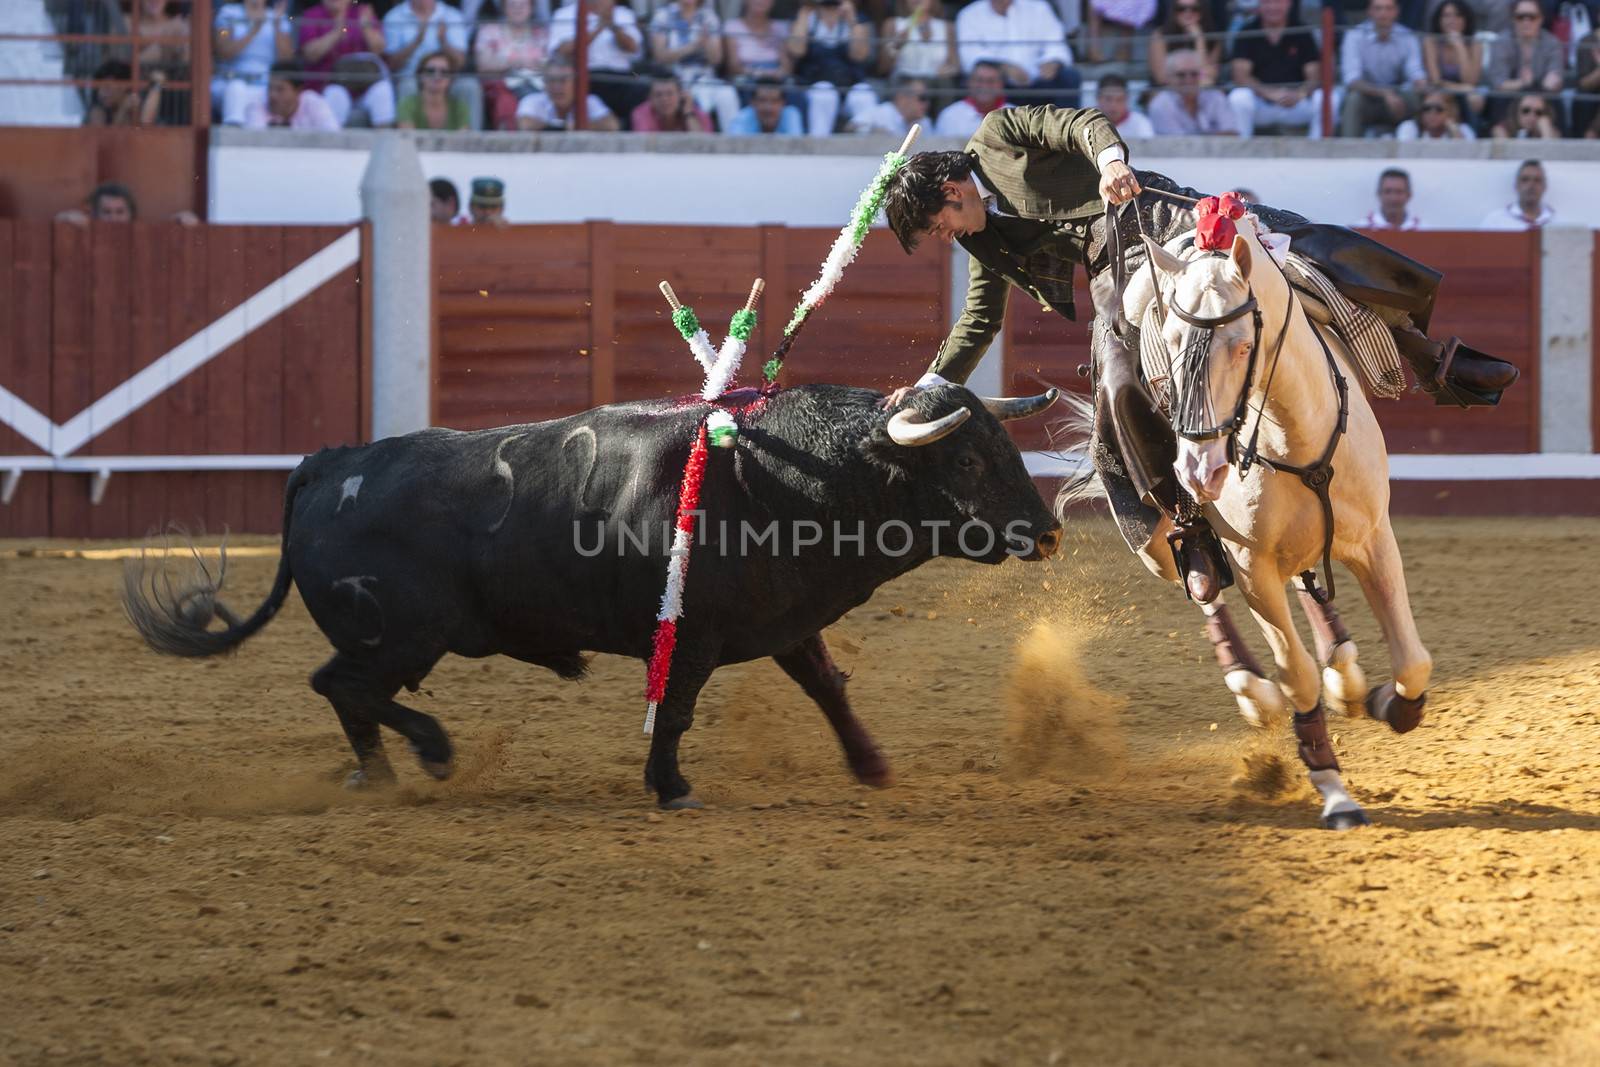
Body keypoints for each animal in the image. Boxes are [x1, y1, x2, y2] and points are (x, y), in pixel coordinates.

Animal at [124, 379, 1062, 806]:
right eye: (967, 459)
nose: (1048, 530)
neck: (783, 476)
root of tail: (328, 462)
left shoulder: (783, 620)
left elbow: (828, 686)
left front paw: (870, 764)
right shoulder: (695, 634)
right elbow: (675, 709)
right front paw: (670, 784)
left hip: (395, 639)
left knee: (345, 693)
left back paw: (380, 774)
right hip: (401, 633)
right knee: (342, 684)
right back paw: (429, 753)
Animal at [1094, 219, 1433, 831]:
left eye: (1244, 345)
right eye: (1170, 343)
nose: (1198, 470)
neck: (1292, 435)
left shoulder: (1376, 538)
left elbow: (1412, 661)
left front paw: (1386, 702)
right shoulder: (1253, 569)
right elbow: (1294, 673)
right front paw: (1334, 790)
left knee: (1308, 585)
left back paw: (1344, 671)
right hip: (1152, 542)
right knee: (1203, 586)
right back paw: (1253, 687)